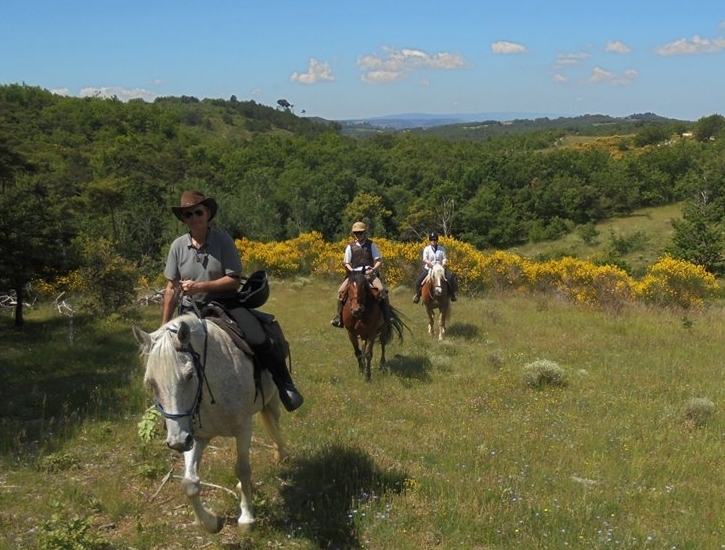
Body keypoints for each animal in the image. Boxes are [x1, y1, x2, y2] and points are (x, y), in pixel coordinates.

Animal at [134, 314, 288, 536]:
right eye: (151, 383)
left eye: (189, 375)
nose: (177, 442)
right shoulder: (195, 437)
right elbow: (189, 483)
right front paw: (211, 522)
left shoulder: (243, 429)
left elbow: (243, 469)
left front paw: (247, 518)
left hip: (272, 400)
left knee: (275, 425)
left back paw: (281, 454)